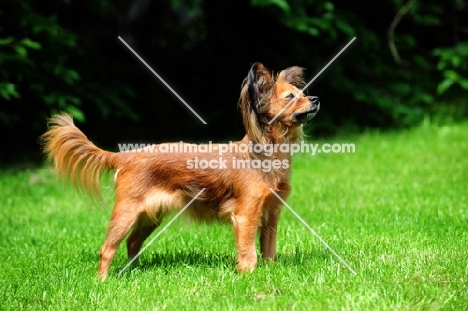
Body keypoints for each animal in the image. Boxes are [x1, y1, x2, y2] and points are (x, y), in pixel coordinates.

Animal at [41, 62, 318, 280]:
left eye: (303, 94)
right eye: (290, 97)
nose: (315, 99)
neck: (266, 152)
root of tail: (127, 155)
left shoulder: (271, 215)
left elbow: (268, 249)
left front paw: (269, 270)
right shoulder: (246, 216)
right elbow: (248, 251)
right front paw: (248, 275)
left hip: (149, 216)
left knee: (132, 242)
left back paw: (133, 272)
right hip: (126, 212)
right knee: (108, 248)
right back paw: (103, 280)